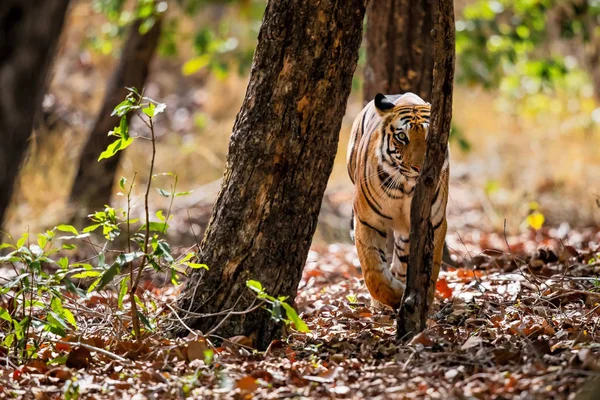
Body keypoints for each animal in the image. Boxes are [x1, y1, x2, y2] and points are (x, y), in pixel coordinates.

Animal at [344, 93, 448, 310]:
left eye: (430, 137)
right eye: (402, 137)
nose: (419, 168)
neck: (406, 189)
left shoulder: (435, 223)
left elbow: (432, 269)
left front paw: (421, 300)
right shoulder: (368, 221)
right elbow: (373, 272)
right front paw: (393, 296)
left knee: (402, 261)